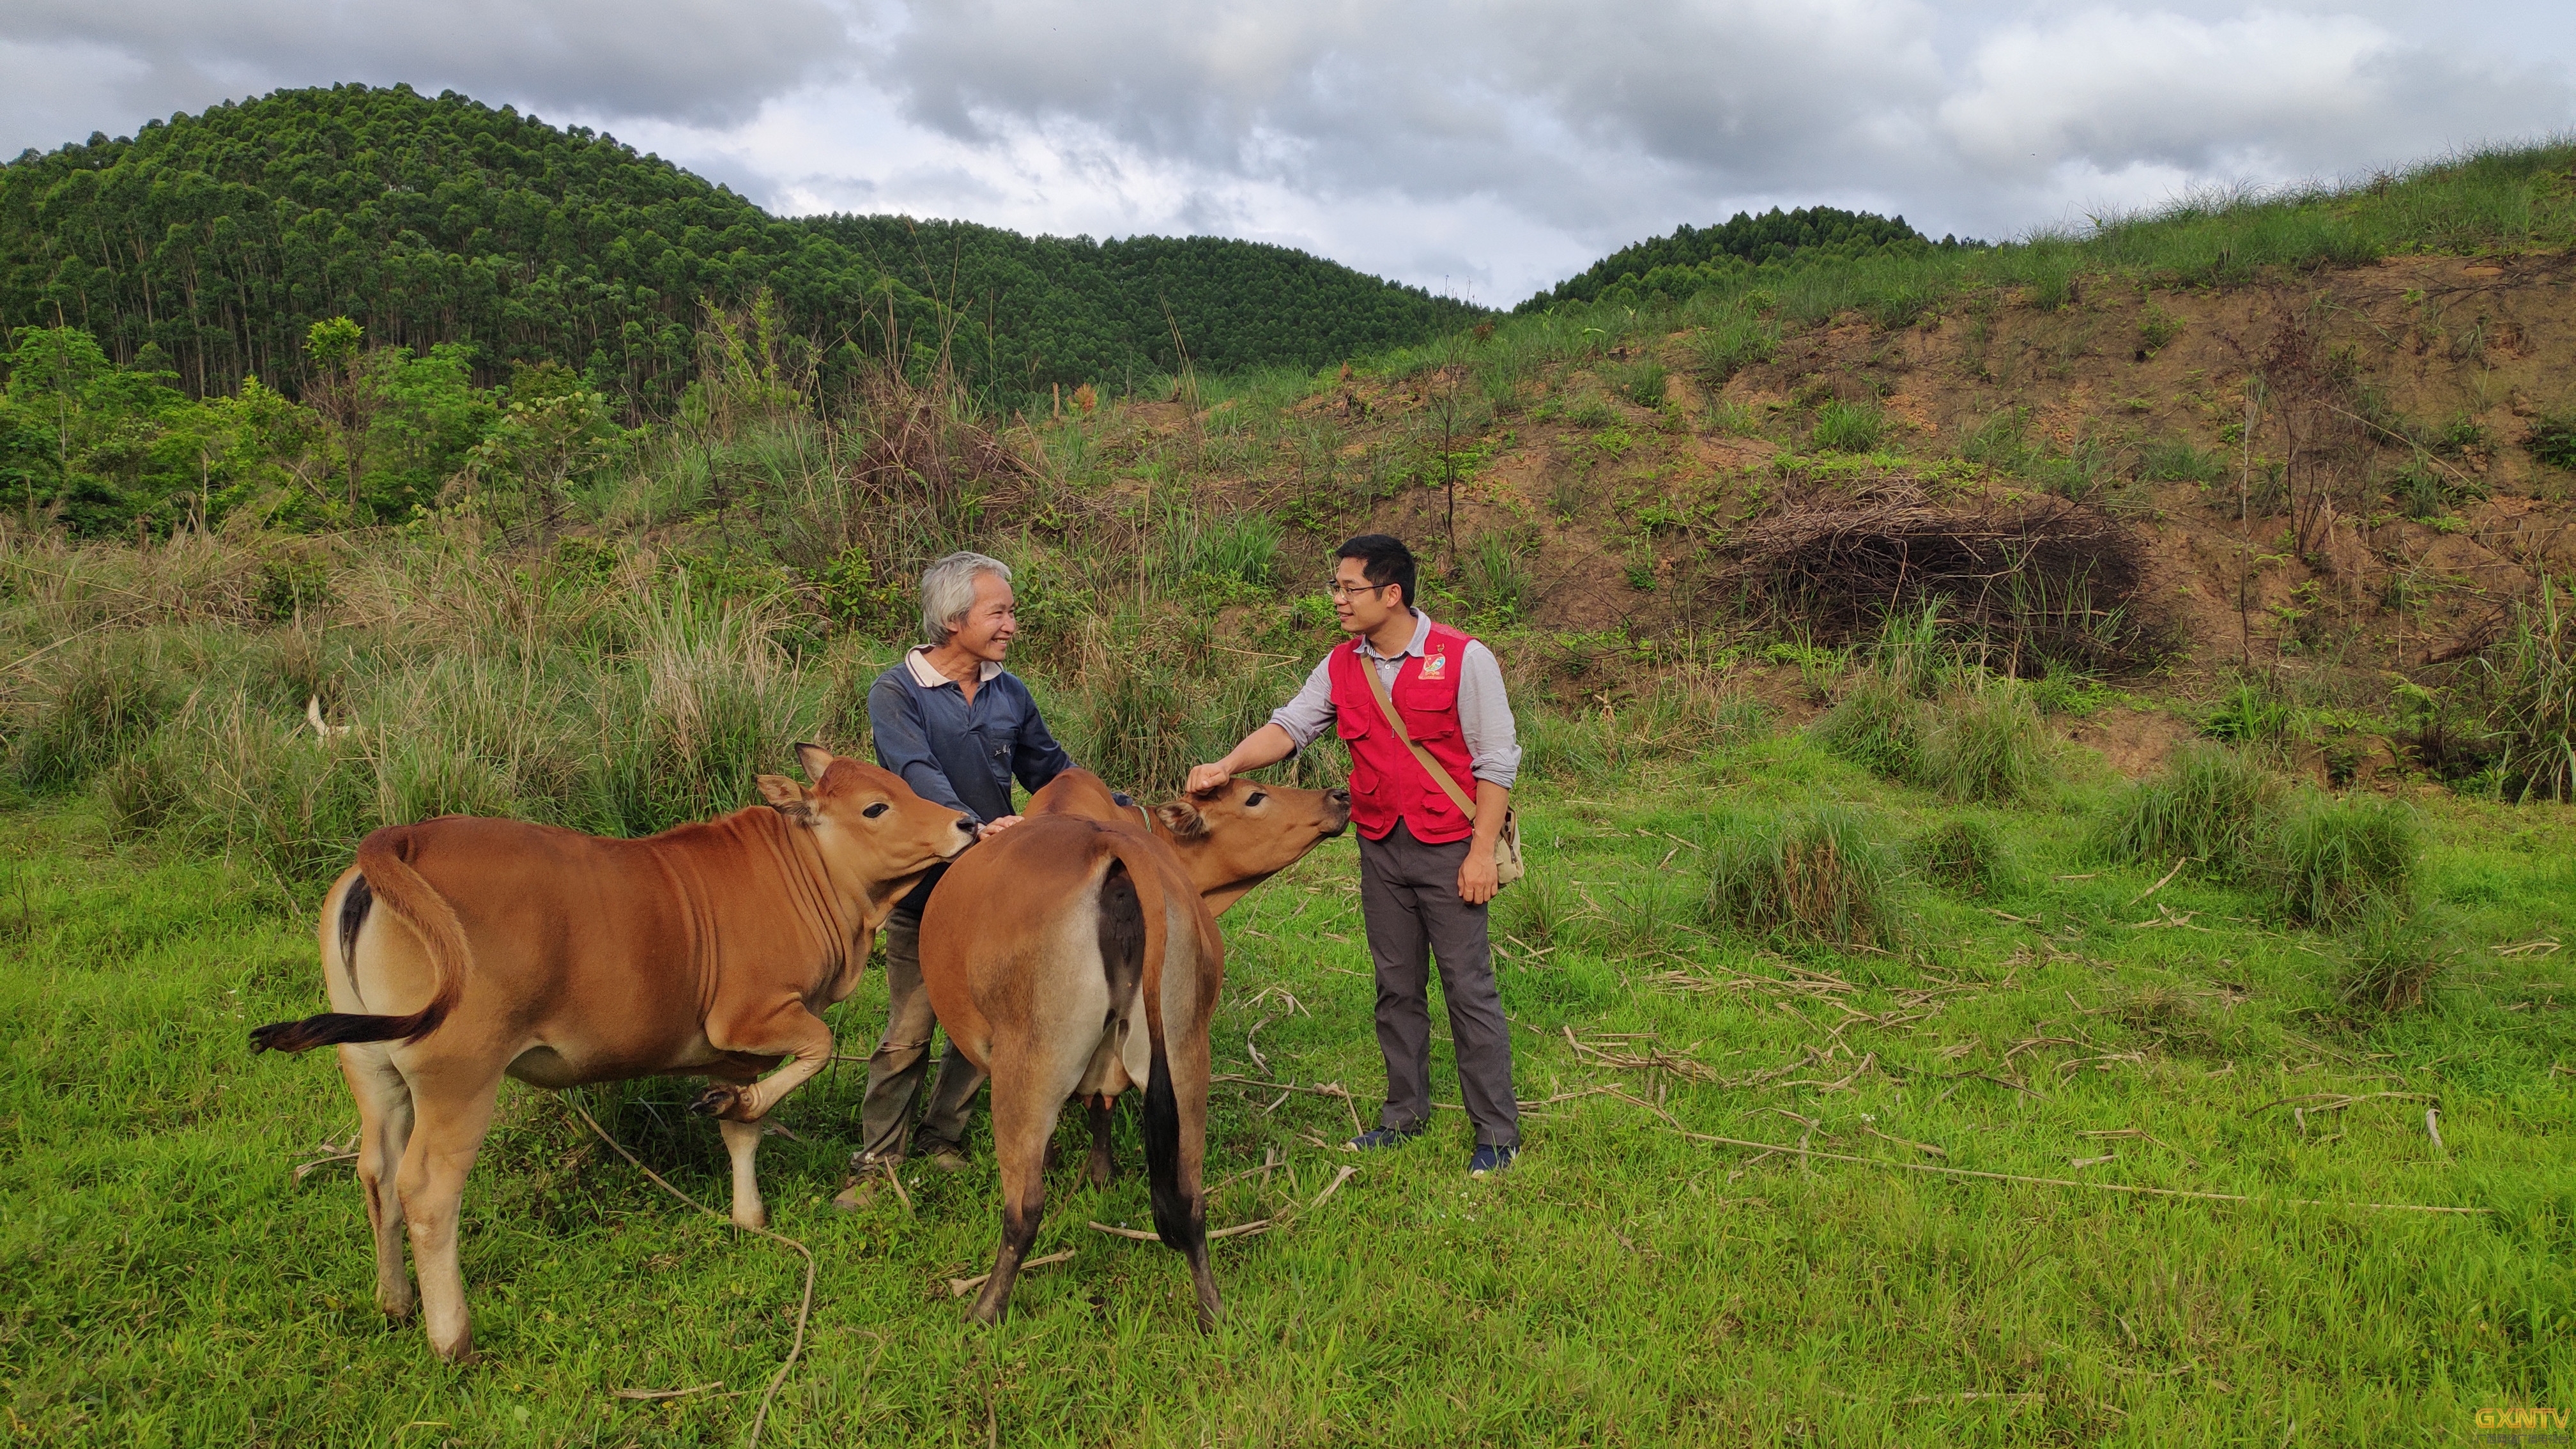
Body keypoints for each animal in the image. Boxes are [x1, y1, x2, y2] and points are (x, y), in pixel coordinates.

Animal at [246, 742, 969, 1351]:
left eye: (903, 786)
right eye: (875, 807)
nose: (963, 822)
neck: (808, 875)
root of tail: (403, 837)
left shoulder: (737, 1053)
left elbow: (744, 1126)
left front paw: (748, 1210)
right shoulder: (749, 1020)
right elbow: (817, 1047)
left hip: (370, 1065)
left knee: (376, 1173)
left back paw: (395, 1301)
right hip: (461, 1076)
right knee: (425, 1190)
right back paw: (452, 1337)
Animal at [917, 768, 1349, 1320]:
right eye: (1256, 797)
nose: (1339, 796)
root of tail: (1113, 845)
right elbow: (1102, 1106)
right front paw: (1102, 1174)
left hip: (1028, 1061)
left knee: (1024, 1208)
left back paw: (986, 1307)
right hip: (1186, 1052)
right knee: (1190, 1198)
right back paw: (1212, 1312)